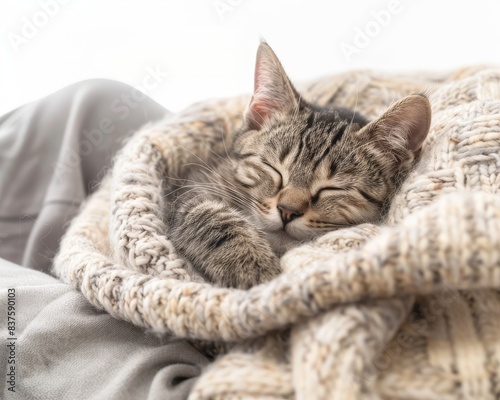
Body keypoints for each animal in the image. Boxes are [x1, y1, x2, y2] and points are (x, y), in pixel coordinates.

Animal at [167, 43, 430, 288]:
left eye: (332, 188)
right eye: (274, 168)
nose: (287, 211)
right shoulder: (194, 185)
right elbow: (209, 214)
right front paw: (250, 264)